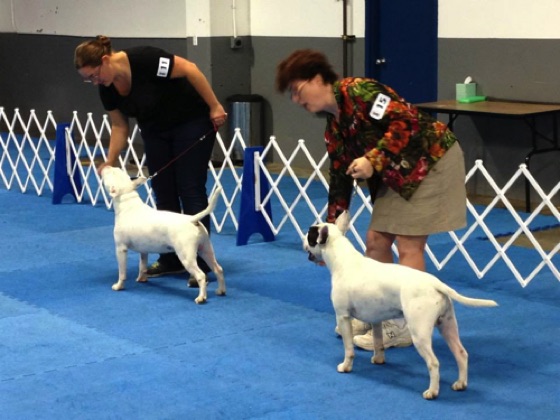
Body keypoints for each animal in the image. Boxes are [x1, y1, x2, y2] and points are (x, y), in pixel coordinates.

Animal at [100, 166, 225, 304]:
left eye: (111, 173)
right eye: (118, 170)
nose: (107, 166)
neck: (127, 202)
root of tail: (192, 219)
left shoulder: (121, 249)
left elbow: (122, 272)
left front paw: (118, 286)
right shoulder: (144, 250)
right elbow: (142, 265)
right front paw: (142, 278)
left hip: (186, 256)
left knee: (201, 275)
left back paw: (201, 297)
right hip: (206, 249)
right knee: (218, 269)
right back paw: (221, 291)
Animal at [304, 212, 496, 398]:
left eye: (310, 235)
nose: (304, 238)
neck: (342, 260)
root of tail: (436, 284)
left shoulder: (342, 316)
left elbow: (348, 348)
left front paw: (345, 367)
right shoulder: (376, 320)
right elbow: (378, 342)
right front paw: (378, 359)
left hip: (420, 333)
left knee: (433, 363)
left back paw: (432, 392)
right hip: (447, 325)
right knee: (461, 353)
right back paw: (460, 384)